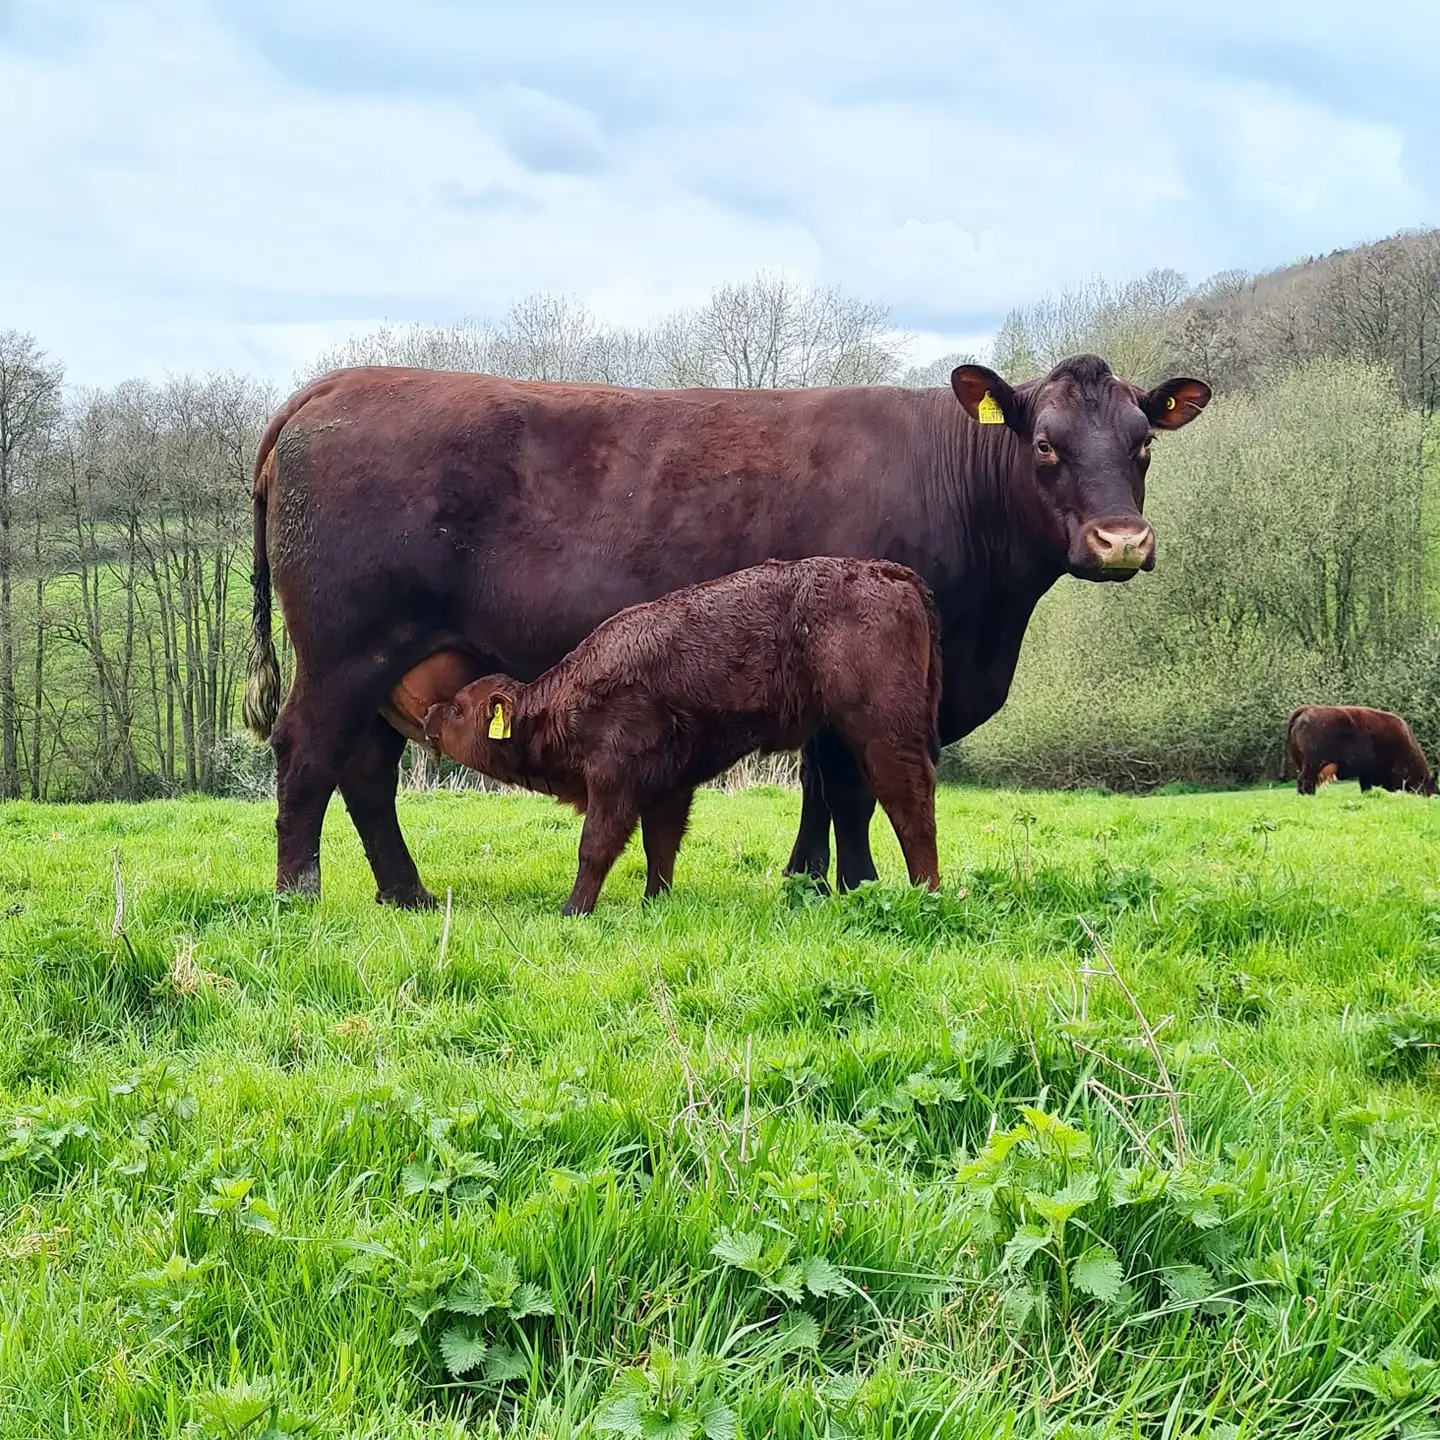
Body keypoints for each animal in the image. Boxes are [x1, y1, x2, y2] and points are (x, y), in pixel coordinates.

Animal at [394, 556, 942, 914]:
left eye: (460, 709)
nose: (430, 717)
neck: (569, 699)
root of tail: (891, 574)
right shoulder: (669, 786)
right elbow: (659, 847)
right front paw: (653, 902)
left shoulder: (613, 779)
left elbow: (596, 845)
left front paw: (574, 909)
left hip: (883, 730)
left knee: (909, 800)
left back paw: (928, 893)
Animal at [1285, 705, 1437, 797]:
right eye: (1431, 785)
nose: (1436, 794)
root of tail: (1308, 709)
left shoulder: (1364, 774)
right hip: (1313, 764)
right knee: (1305, 780)